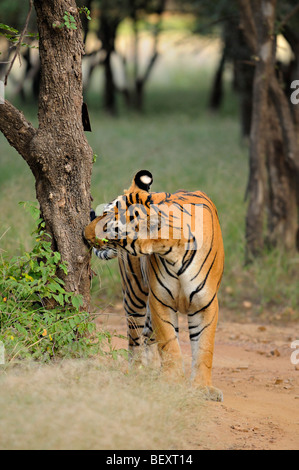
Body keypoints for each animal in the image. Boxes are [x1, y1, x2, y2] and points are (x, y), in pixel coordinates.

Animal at [85, 171, 225, 402]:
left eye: (109, 227)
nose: (84, 235)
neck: (173, 249)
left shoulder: (205, 304)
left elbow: (205, 347)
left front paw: (202, 388)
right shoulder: (160, 300)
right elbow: (170, 344)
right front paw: (173, 382)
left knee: (146, 336)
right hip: (135, 296)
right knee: (135, 339)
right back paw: (139, 372)